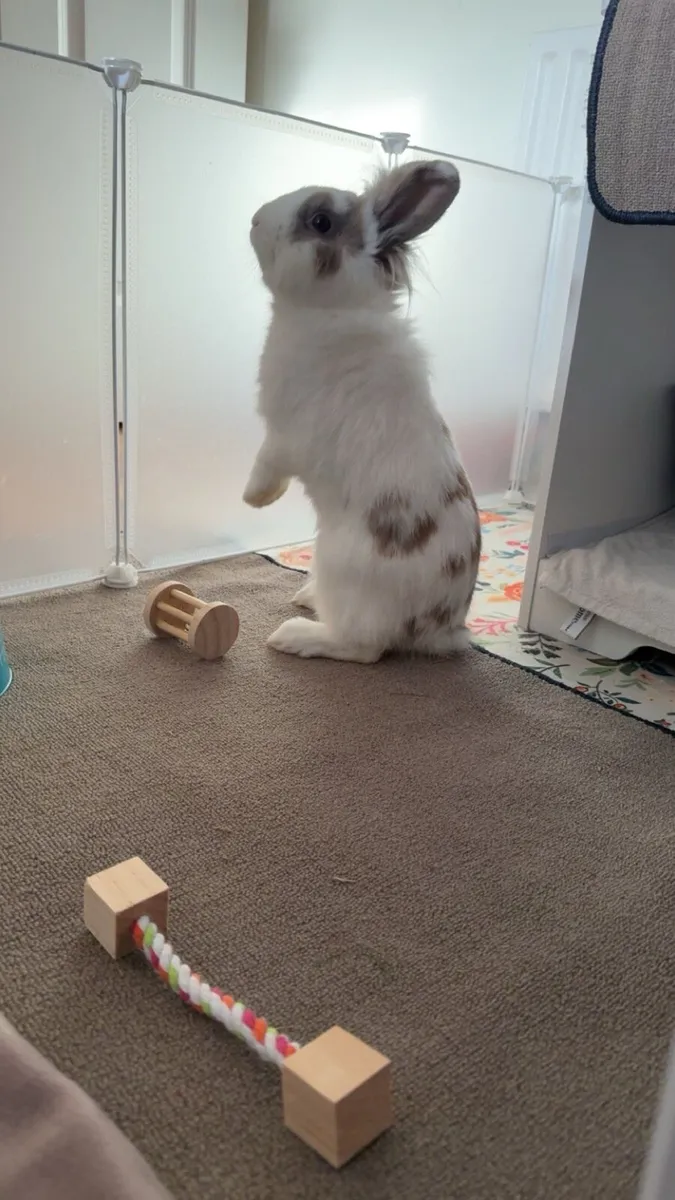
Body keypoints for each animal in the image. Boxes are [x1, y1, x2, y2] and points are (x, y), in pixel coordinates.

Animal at [244, 158, 481, 663]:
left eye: (321, 222)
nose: (254, 219)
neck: (331, 310)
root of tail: (441, 626)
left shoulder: (284, 434)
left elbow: (266, 464)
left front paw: (253, 499)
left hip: (341, 569)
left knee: (364, 648)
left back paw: (295, 634)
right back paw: (306, 597)